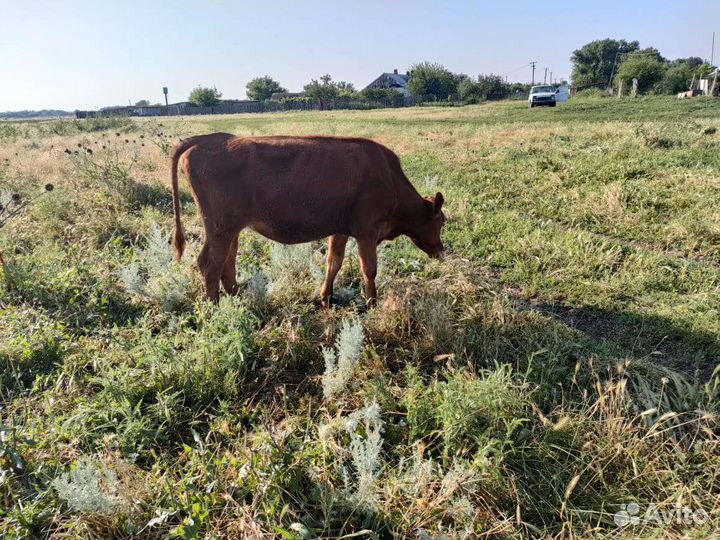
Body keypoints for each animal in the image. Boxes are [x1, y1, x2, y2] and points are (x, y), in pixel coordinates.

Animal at [170, 133, 446, 306]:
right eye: (442, 221)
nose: (441, 251)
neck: (389, 178)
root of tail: (210, 139)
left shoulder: (341, 229)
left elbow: (334, 262)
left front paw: (325, 297)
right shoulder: (366, 231)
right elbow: (369, 269)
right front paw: (372, 303)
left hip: (230, 230)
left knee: (227, 261)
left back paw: (236, 295)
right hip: (220, 228)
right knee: (210, 263)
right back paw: (215, 307)